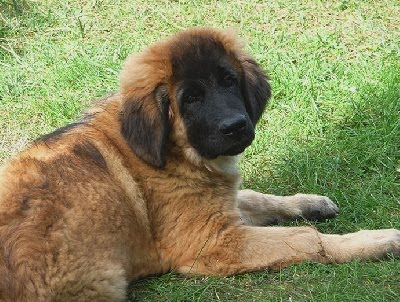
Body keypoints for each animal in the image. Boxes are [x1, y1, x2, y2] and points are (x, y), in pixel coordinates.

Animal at [0, 27, 400, 300]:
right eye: (190, 98)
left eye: (229, 82)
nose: (236, 126)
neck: (173, 151)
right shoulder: (214, 242)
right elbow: (307, 239)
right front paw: (375, 241)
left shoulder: (218, 208)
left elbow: (255, 197)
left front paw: (310, 202)